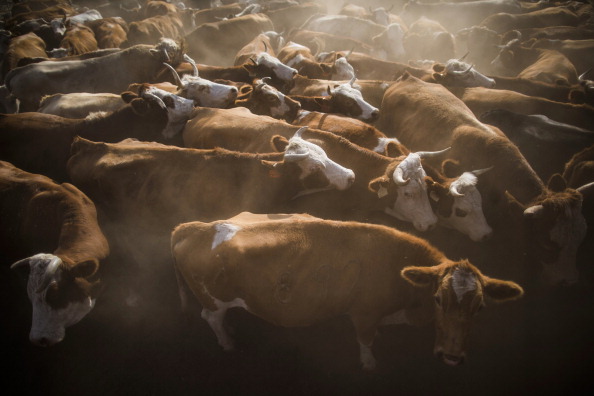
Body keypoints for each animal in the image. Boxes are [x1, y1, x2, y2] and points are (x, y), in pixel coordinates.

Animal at [171, 212, 524, 370]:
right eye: (438, 299)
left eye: (480, 308)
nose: (451, 356)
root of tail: (194, 227)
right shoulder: (364, 313)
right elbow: (365, 343)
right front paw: (370, 365)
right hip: (213, 299)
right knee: (211, 317)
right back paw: (228, 342)